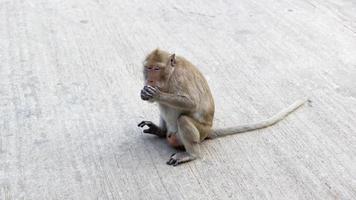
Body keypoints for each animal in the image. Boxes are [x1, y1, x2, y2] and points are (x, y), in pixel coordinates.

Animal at [138, 48, 308, 166]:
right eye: (148, 68)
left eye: (157, 69)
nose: (150, 81)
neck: (170, 74)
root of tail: (208, 131)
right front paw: (146, 92)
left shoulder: (180, 78)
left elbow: (192, 102)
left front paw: (156, 94)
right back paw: (161, 131)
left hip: (200, 132)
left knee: (183, 120)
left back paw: (192, 154)